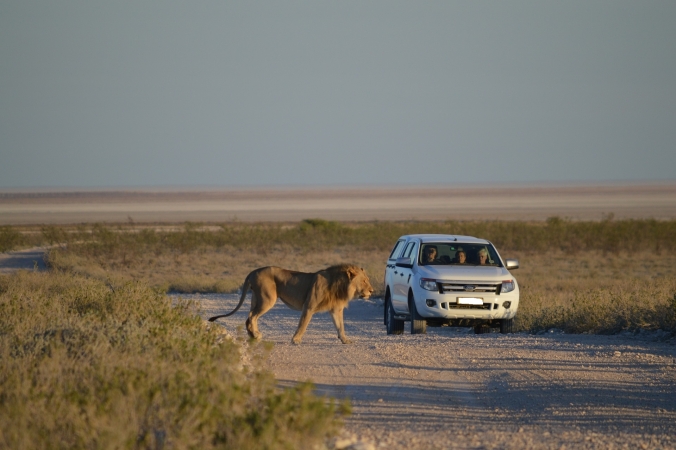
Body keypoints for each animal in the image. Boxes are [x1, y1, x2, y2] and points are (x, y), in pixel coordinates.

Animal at [207, 264, 372, 344]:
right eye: (364, 281)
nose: (372, 290)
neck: (340, 285)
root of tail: (253, 272)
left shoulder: (336, 309)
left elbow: (340, 326)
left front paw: (345, 340)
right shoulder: (309, 306)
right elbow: (302, 325)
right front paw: (296, 340)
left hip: (256, 298)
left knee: (249, 316)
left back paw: (253, 334)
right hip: (268, 298)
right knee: (252, 316)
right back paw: (255, 335)